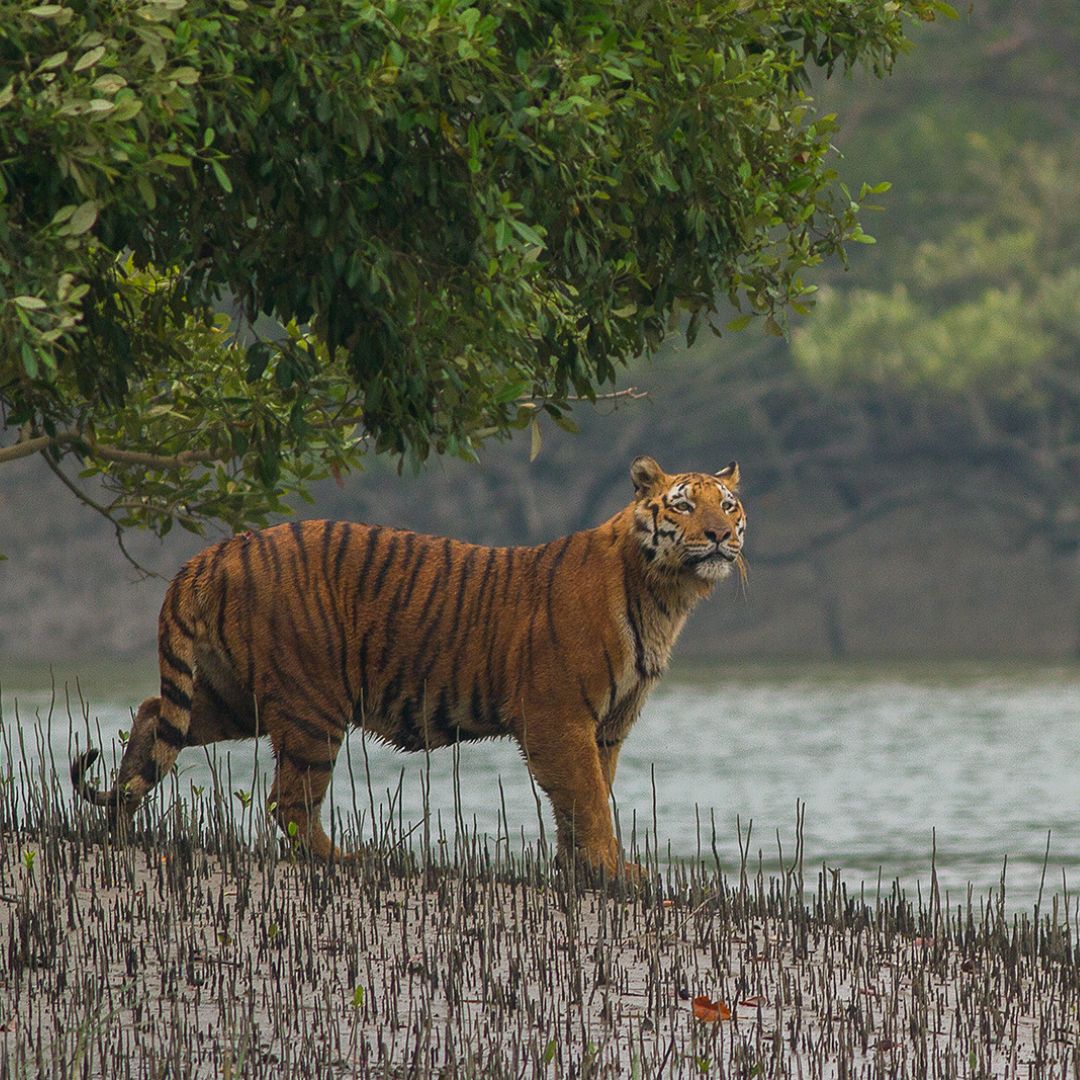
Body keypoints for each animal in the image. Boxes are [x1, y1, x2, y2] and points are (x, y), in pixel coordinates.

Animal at [71, 455, 747, 876]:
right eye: (683, 507)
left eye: (729, 506)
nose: (720, 536)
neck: (666, 594)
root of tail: (218, 550)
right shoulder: (559, 717)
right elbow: (588, 799)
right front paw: (612, 871)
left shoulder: (607, 726)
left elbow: (588, 797)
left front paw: (583, 869)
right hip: (312, 704)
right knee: (289, 803)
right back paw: (342, 860)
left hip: (234, 695)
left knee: (153, 714)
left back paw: (119, 824)